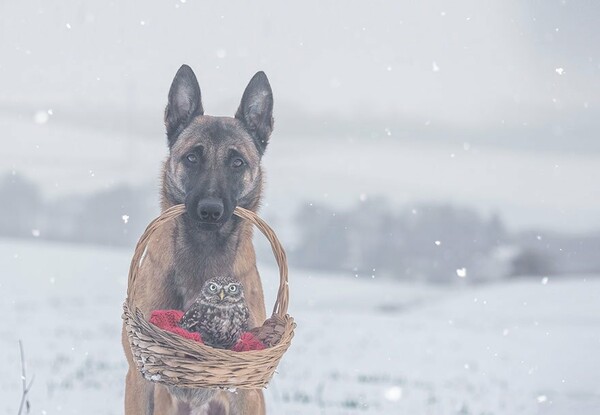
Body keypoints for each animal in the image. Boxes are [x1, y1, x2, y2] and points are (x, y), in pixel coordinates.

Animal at [124, 65, 274, 415]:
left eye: (237, 162)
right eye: (192, 158)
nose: (210, 210)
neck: (204, 250)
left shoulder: (247, 390)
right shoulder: (141, 380)